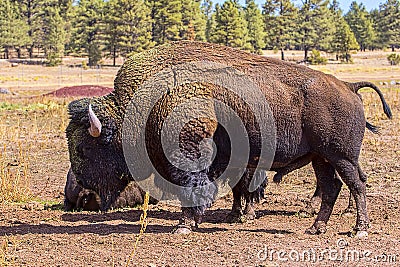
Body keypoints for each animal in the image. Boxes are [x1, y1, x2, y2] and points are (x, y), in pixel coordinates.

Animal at [65, 40, 390, 238]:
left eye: (83, 148)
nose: (81, 191)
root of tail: (348, 86)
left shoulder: (191, 152)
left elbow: (194, 187)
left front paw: (185, 225)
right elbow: (236, 188)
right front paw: (228, 217)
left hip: (341, 156)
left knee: (356, 184)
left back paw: (359, 229)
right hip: (322, 158)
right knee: (332, 187)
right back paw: (315, 228)